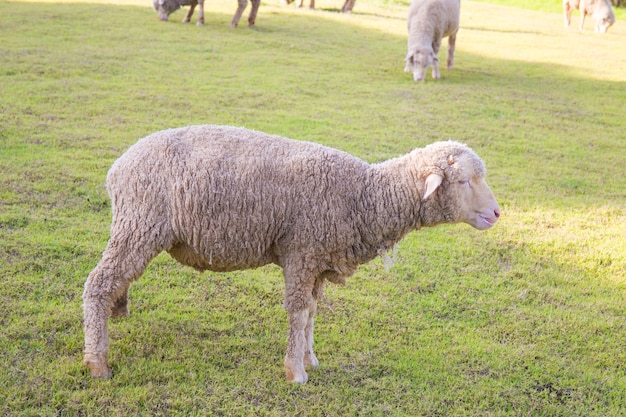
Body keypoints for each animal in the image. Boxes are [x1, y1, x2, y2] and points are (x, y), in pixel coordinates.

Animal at [83, 124, 500, 384]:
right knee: (97, 284)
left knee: (117, 280)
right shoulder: (301, 253)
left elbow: (313, 312)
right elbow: (298, 313)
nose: (497, 214)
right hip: (140, 224)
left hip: (135, 227)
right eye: (464, 181)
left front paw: (310, 357)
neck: (363, 195)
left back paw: (117, 311)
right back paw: (97, 361)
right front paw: (295, 372)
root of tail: (117, 167)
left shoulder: (317, 260)